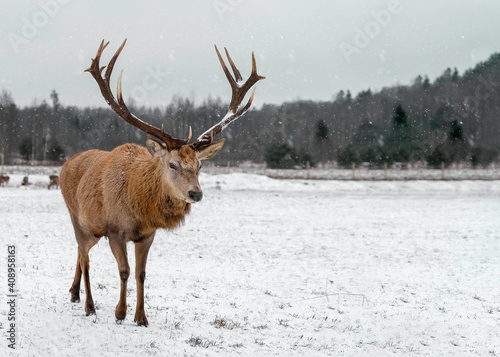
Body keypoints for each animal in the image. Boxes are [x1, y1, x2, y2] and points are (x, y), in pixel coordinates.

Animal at [59, 39, 266, 326]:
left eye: (200, 165)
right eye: (172, 164)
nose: (196, 194)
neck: (138, 208)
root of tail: (66, 164)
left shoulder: (148, 234)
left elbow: (141, 274)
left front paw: (141, 317)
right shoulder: (115, 230)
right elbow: (124, 271)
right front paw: (120, 313)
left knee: (80, 253)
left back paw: (74, 293)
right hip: (78, 217)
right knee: (85, 255)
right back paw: (89, 305)